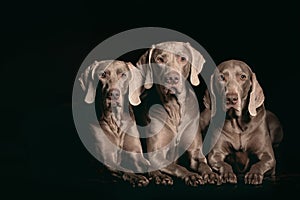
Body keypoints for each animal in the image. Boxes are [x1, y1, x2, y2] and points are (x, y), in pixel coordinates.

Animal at [135, 41, 219, 187]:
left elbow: (203, 164)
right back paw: (159, 176)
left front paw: (211, 174)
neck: (175, 109)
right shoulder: (156, 155)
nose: (172, 78)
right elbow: (178, 167)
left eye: (183, 58)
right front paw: (191, 175)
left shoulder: (195, 153)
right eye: (159, 59)